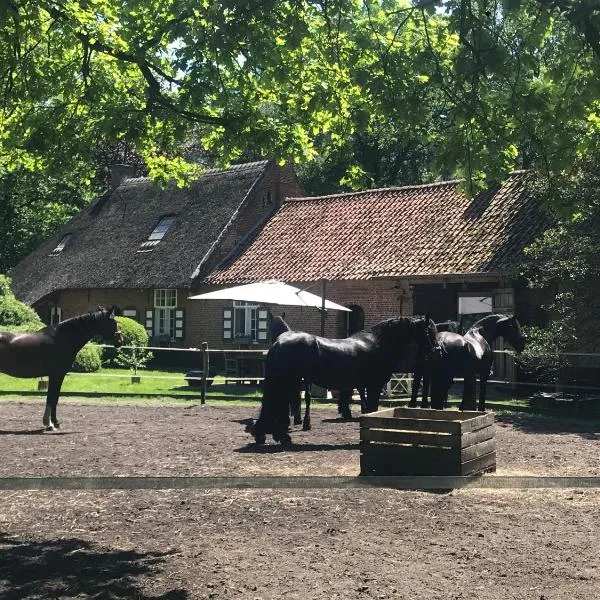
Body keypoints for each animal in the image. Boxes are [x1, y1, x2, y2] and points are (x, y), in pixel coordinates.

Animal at [246, 316, 438, 442]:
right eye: (428, 331)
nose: (436, 350)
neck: (377, 343)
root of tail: (278, 343)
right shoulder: (373, 386)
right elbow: (372, 409)